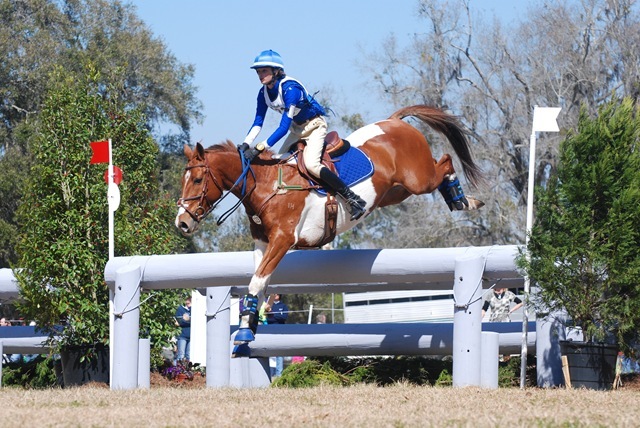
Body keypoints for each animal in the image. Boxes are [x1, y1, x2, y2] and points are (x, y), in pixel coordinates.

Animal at [175, 105, 483, 356]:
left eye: (198, 179)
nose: (182, 222)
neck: (266, 184)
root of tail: (394, 122)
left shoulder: (282, 240)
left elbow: (257, 282)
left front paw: (244, 332)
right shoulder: (262, 244)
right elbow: (259, 285)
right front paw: (246, 329)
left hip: (418, 179)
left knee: (444, 162)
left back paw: (465, 200)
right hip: (395, 193)